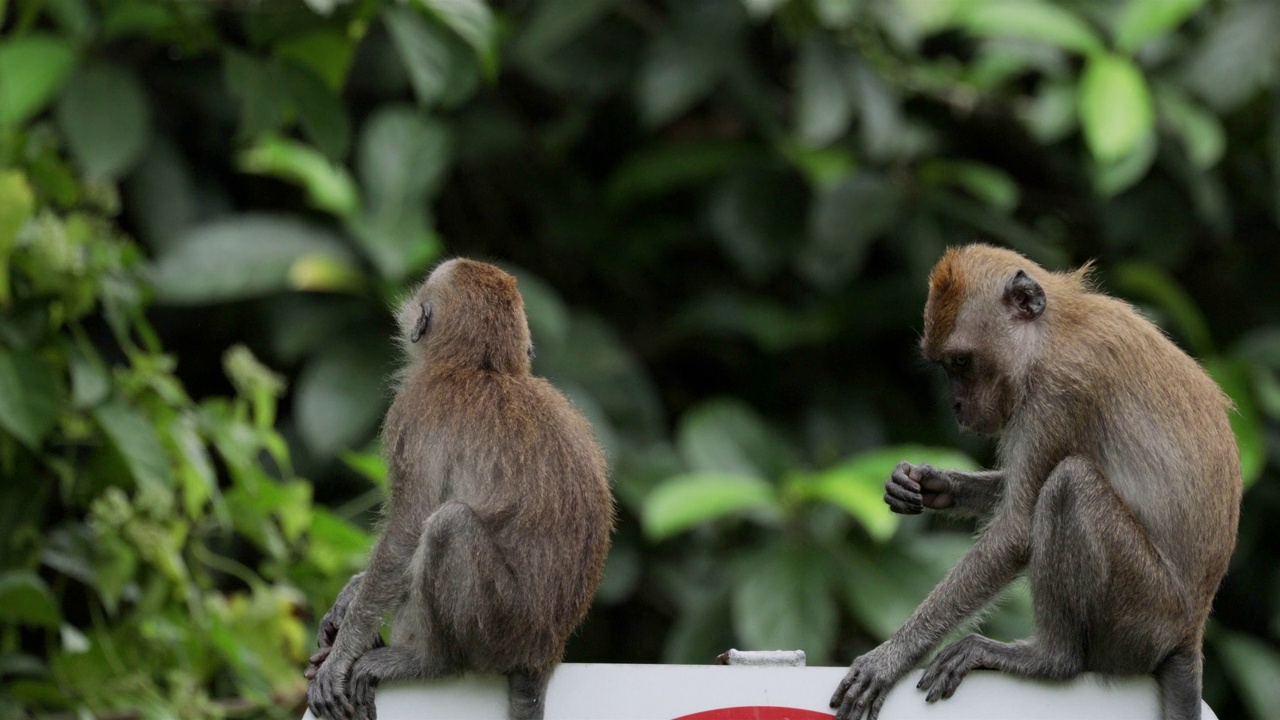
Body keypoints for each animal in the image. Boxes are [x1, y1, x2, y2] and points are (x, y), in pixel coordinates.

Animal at [304, 257, 614, 717]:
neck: (484, 367)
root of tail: (545, 652)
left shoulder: (414, 409)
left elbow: (407, 528)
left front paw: (342, 654)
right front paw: (351, 594)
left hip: (502, 628)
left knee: (449, 525)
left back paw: (429, 661)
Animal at [829, 242, 1239, 717]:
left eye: (961, 362)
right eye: (944, 365)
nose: (955, 405)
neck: (1053, 333)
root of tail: (1190, 633)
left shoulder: (1059, 390)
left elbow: (1018, 528)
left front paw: (890, 657)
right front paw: (932, 484)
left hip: (1143, 619)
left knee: (1070, 485)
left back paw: (1050, 659)